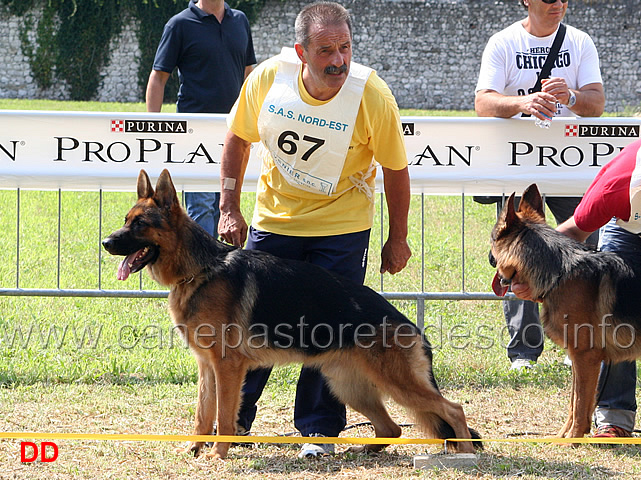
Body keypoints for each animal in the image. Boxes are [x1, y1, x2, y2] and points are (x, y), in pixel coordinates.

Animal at [101, 169, 480, 458]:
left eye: (139, 224)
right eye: (125, 221)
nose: (105, 242)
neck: (201, 268)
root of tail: (412, 327)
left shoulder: (227, 367)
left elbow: (223, 415)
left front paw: (217, 455)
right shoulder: (206, 367)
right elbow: (202, 414)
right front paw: (194, 451)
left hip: (396, 383)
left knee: (452, 409)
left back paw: (464, 454)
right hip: (349, 387)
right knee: (392, 428)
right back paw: (364, 451)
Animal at [488, 183, 636, 438]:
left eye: (492, 239)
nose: (489, 258)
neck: (560, 273)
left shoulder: (585, 357)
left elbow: (580, 402)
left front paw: (573, 438)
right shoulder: (579, 358)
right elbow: (575, 403)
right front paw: (563, 435)